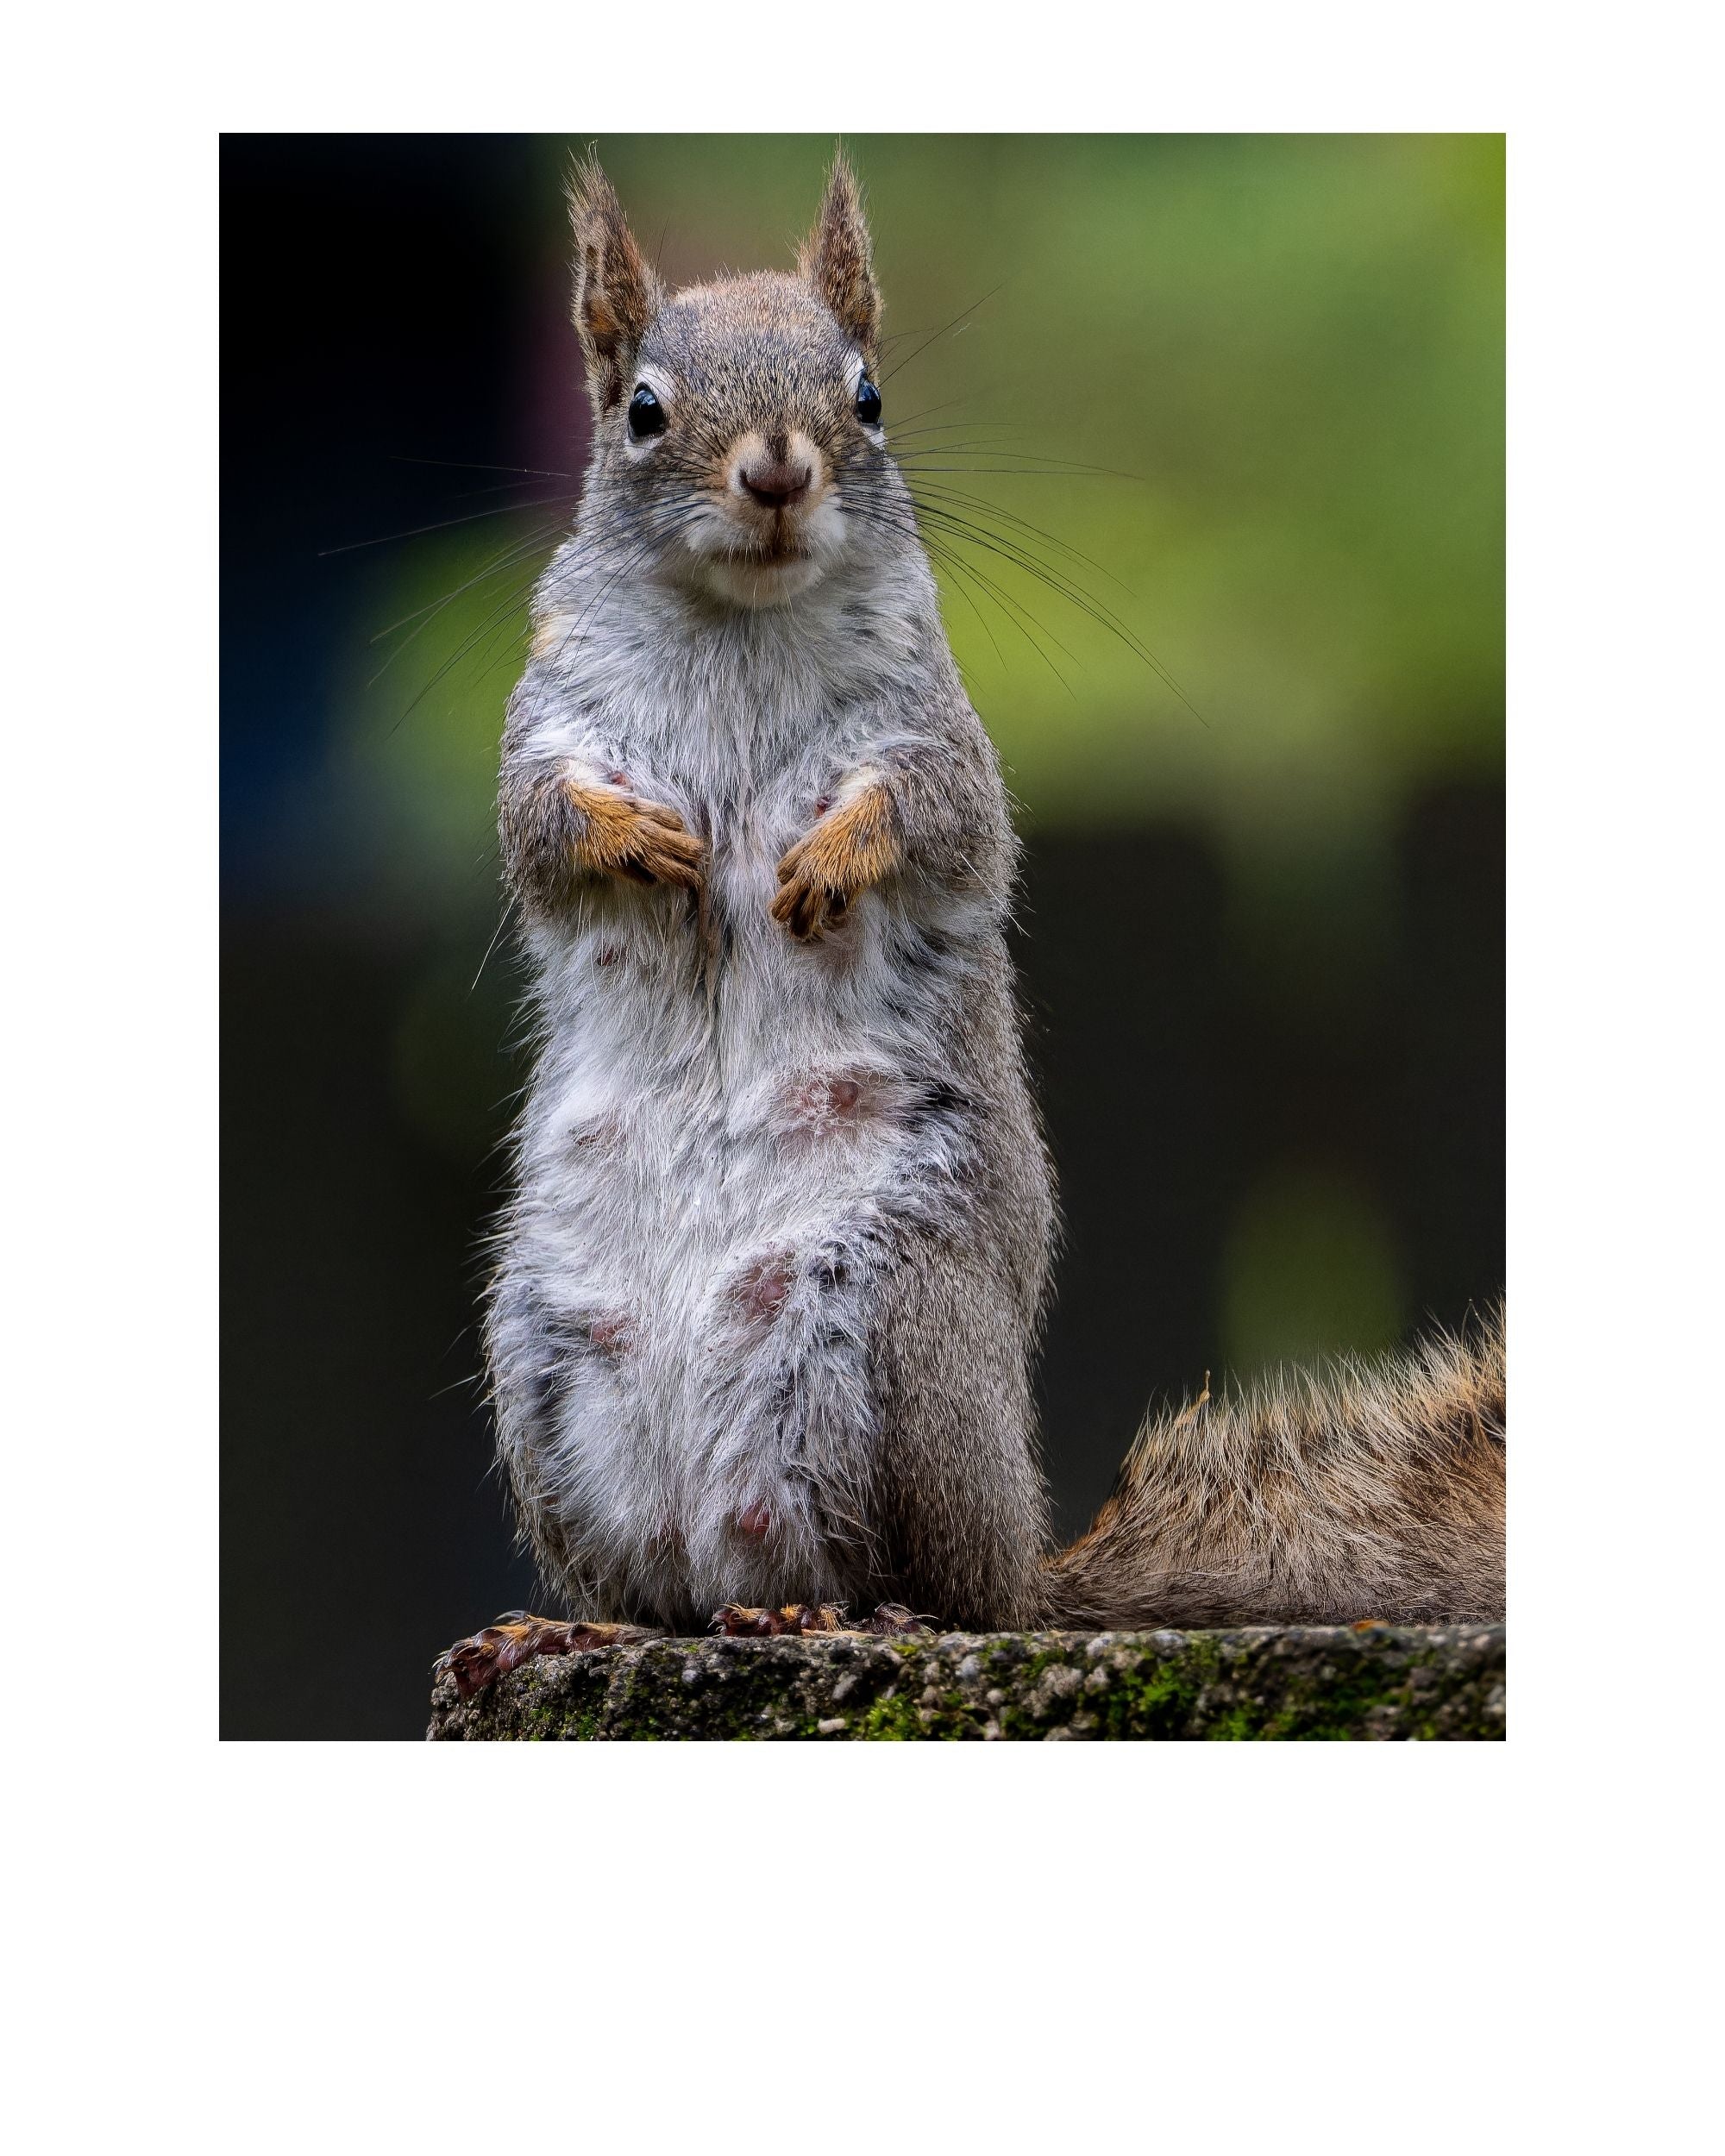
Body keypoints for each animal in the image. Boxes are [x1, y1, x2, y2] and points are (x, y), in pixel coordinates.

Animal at [444, 153, 1505, 1697]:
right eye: (642, 407)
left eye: (869, 392)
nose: (778, 469)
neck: (740, 623)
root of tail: (1028, 1567)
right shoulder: (548, 725)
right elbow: (540, 830)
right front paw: (639, 841)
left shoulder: (942, 736)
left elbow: (940, 822)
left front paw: (828, 858)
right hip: (543, 1366)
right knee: (660, 1593)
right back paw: (579, 1620)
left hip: (889, 1334)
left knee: (925, 1586)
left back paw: (844, 1614)